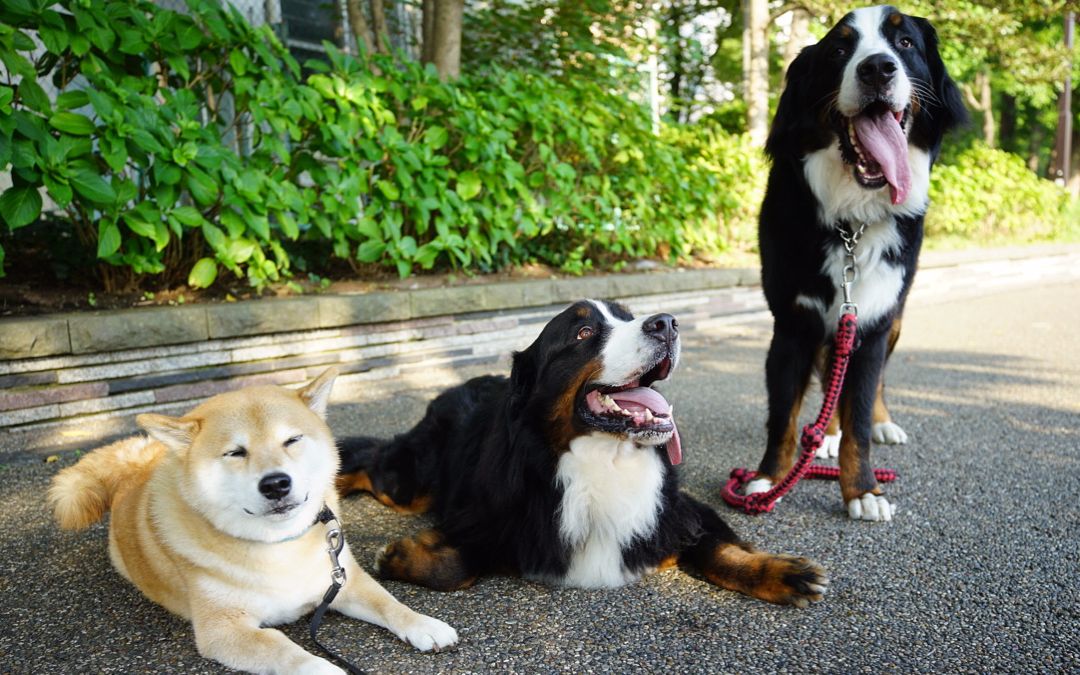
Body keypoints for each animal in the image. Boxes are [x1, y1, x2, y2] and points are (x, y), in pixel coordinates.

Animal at [49, 369, 455, 673]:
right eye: (235, 452)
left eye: (292, 440)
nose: (275, 483)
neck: (279, 549)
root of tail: (137, 467)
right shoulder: (222, 629)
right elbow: (284, 648)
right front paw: (322, 668)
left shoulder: (341, 579)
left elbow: (388, 602)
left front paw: (424, 624)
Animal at [336, 300, 825, 604]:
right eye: (584, 331)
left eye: (630, 318)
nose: (667, 322)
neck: (607, 460)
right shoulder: (494, 515)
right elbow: (459, 563)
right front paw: (397, 554)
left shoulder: (675, 510)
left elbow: (719, 546)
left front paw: (783, 573)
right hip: (409, 481)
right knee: (373, 460)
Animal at [747, 6, 967, 520]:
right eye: (840, 49)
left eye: (904, 43)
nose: (878, 69)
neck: (851, 219)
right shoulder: (793, 325)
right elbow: (782, 417)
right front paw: (769, 479)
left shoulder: (872, 319)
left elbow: (861, 414)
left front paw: (864, 490)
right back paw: (823, 436)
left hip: (894, 317)